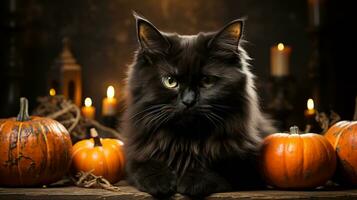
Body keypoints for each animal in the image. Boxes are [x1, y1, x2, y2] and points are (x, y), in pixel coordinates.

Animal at [122, 12, 276, 198]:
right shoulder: (135, 155)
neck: (185, 141)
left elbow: (222, 167)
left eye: (207, 81)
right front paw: (161, 182)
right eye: (170, 81)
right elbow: (144, 166)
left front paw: (194, 180)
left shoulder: (247, 164)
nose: (188, 101)